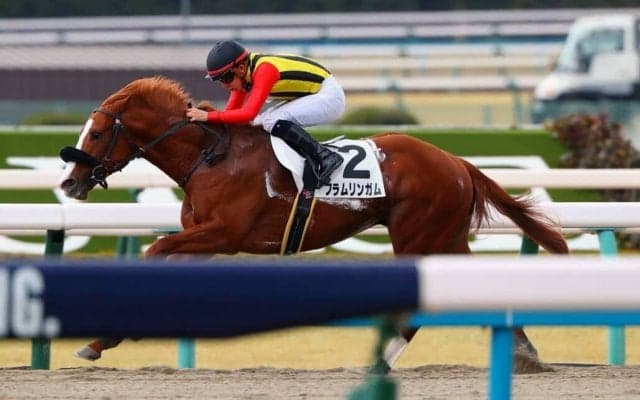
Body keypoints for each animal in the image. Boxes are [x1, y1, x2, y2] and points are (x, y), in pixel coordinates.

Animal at [59, 76, 568, 372]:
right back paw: (523, 353)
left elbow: (154, 250)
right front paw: (104, 339)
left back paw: (383, 362)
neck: (210, 157)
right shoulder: (202, 239)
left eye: (98, 133)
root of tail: (456, 161)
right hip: (443, 235)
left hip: (418, 235)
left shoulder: (223, 232)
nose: (68, 183)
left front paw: (104, 336)